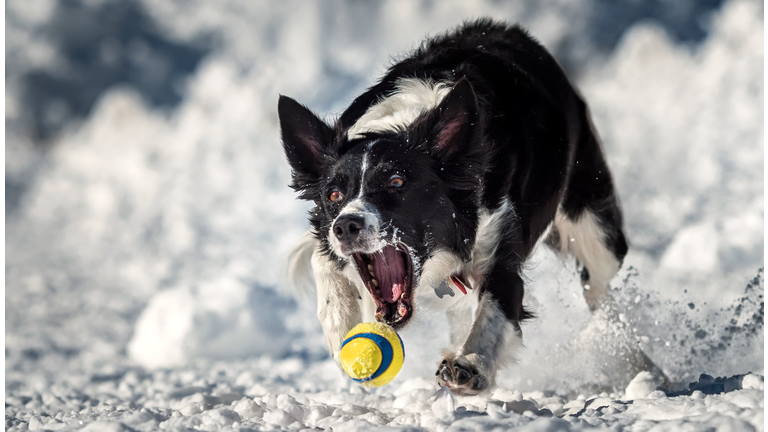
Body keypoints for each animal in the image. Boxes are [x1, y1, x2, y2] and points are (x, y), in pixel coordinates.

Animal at [280, 20, 640, 394]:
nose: (346, 226)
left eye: (396, 182)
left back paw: (629, 359)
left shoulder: (501, 241)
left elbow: (496, 308)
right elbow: (324, 262)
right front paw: (340, 328)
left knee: (601, 287)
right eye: (334, 195)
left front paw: (468, 364)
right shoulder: (329, 235)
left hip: (596, 230)